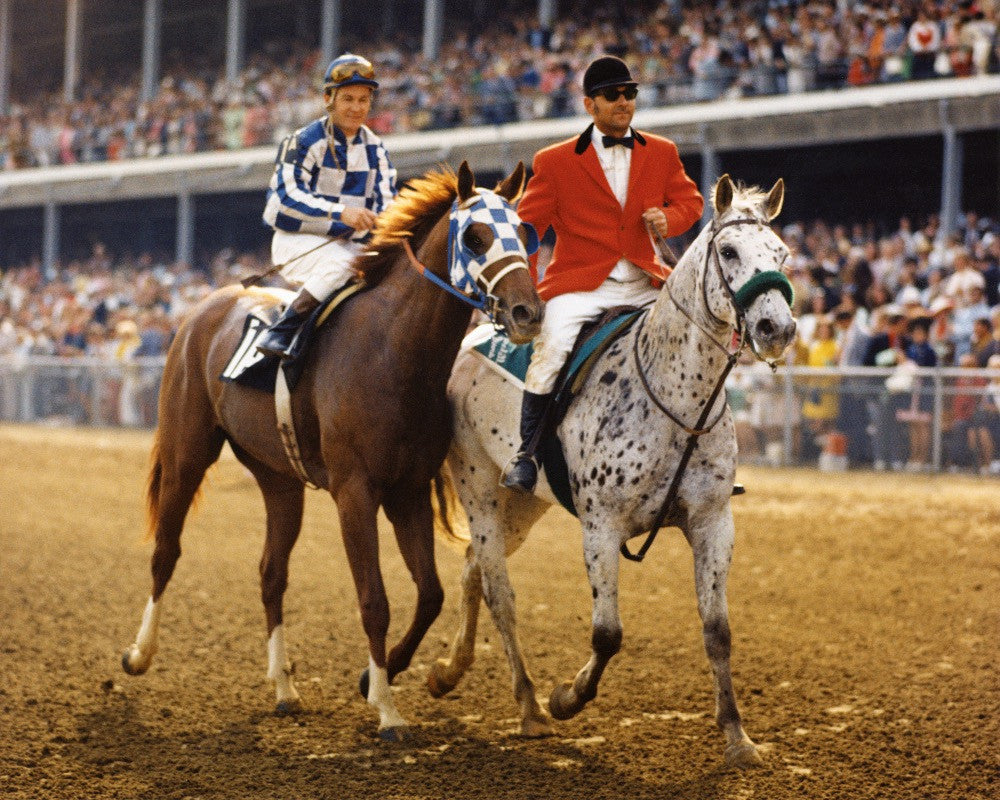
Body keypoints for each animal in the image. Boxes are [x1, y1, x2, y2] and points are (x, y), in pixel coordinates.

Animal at [124, 164, 548, 744]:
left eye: (523, 231)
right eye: (475, 236)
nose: (529, 312)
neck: (394, 352)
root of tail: (202, 310)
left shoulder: (408, 491)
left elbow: (430, 593)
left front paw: (377, 680)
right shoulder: (355, 491)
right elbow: (374, 600)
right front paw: (388, 710)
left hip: (279, 480)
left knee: (271, 573)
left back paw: (284, 688)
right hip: (187, 451)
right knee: (166, 550)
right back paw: (139, 655)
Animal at [430, 177, 796, 768]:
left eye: (781, 253)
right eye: (728, 251)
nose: (776, 328)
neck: (677, 399)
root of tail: (471, 342)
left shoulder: (713, 522)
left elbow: (717, 631)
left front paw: (738, 738)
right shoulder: (601, 527)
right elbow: (607, 634)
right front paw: (567, 698)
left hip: (524, 506)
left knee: (472, 571)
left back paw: (448, 673)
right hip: (481, 491)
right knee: (499, 594)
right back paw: (530, 706)